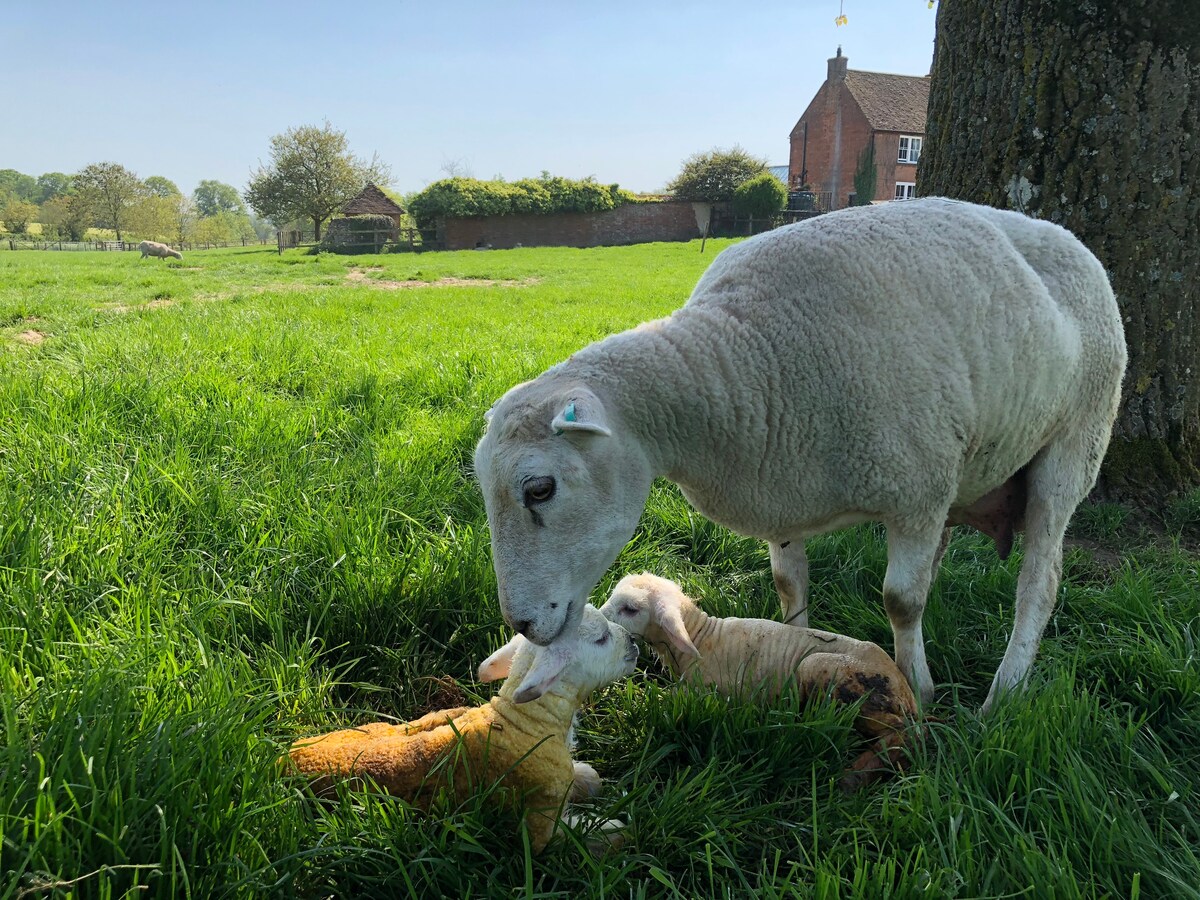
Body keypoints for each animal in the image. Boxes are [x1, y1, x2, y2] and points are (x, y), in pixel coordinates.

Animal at [284, 607, 638, 854]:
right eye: (601, 639)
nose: (634, 643)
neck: (526, 723)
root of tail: (282, 760)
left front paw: (587, 778)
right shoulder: (540, 823)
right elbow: (574, 837)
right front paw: (616, 830)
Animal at [475, 196, 1123, 710]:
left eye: (540, 488)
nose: (521, 624)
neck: (745, 356)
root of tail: (1065, 237)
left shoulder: (917, 489)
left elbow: (901, 599)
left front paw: (919, 688)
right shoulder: (786, 487)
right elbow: (790, 585)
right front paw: (797, 643)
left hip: (1077, 439)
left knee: (1040, 579)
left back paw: (1004, 694)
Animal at [600, 578, 916, 787]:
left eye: (630, 609)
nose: (598, 619)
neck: (701, 638)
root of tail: (906, 692)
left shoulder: (703, 694)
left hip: (828, 673)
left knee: (902, 732)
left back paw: (854, 775)